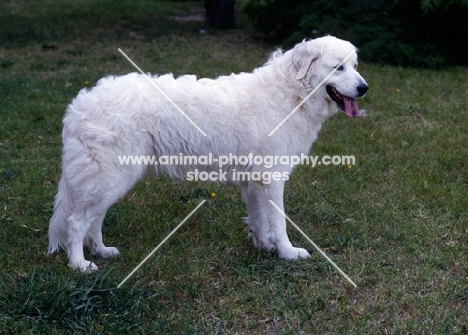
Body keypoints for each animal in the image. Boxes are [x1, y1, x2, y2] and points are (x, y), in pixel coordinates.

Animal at [48, 35, 370, 272]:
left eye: (354, 65)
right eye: (338, 67)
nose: (364, 88)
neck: (292, 94)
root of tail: (80, 104)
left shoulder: (254, 181)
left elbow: (259, 219)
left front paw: (264, 247)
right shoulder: (272, 177)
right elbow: (278, 221)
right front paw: (288, 253)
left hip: (109, 181)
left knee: (94, 220)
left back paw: (102, 251)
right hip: (110, 178)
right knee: (76, 222)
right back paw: (80, 265)